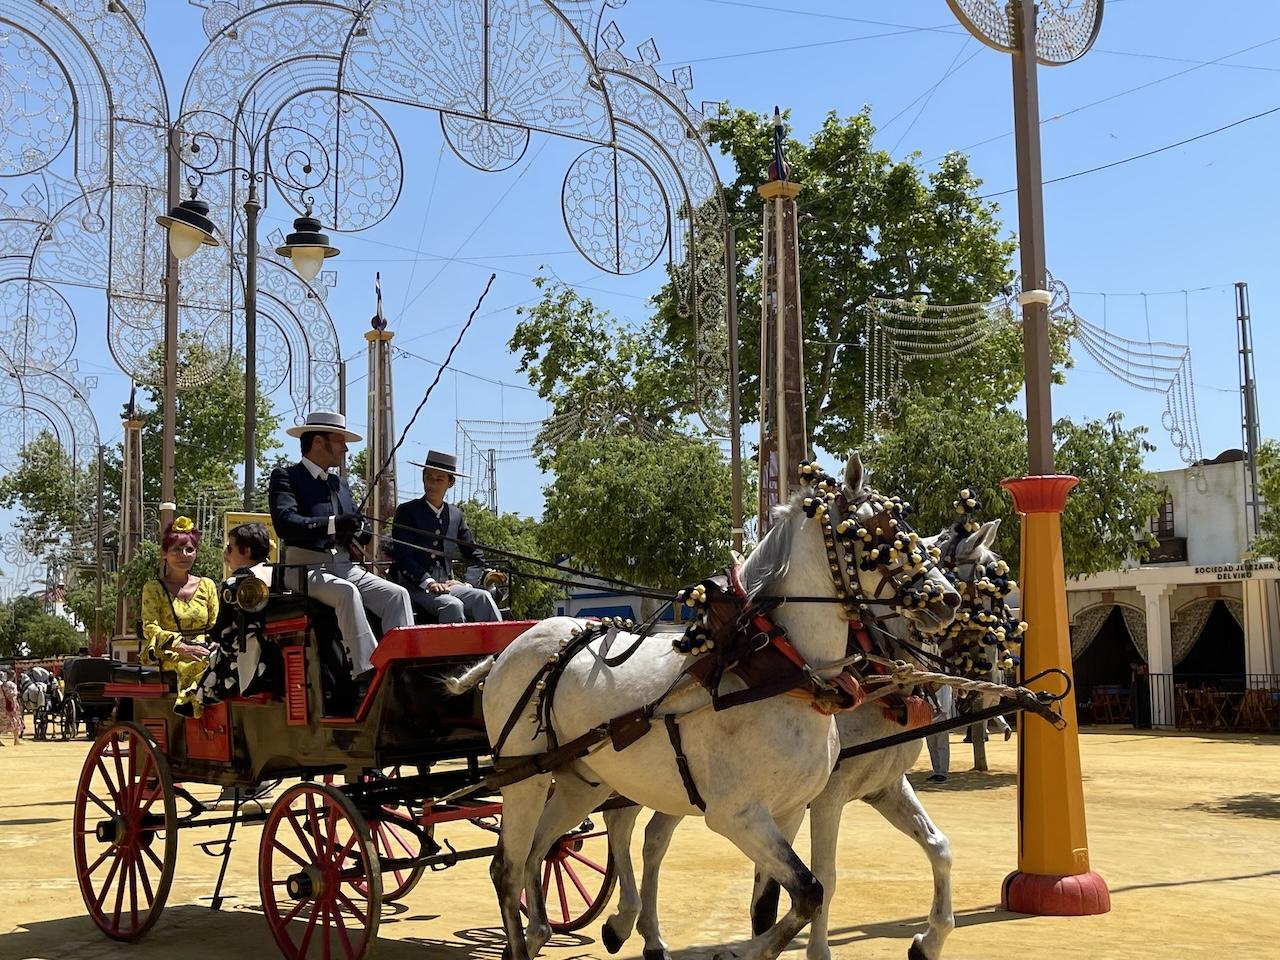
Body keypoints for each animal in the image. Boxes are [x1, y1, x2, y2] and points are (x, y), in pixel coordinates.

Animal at [476, 455, 957, 960]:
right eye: (870, 536)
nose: (949, 599)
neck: (776, 670)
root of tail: (513, 646)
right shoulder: (739, 816)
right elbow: (812, 890)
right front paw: (743, 951)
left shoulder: (791, 809)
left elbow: (773, 904)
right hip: (524, 778)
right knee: (508, 868)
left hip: (582, 782)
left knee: (544, 850)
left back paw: (548, 932)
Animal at [593, 519, 1013, 960]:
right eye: (983, 591)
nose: (993, 686)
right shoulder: (828, 794)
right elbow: (825, 873)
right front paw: (815, 949)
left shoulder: (883, 787)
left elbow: (938, 846)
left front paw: (929, 941)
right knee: (620, 823)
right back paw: (624, 921)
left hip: (680, 784)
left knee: (654, 838)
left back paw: (648, 936)